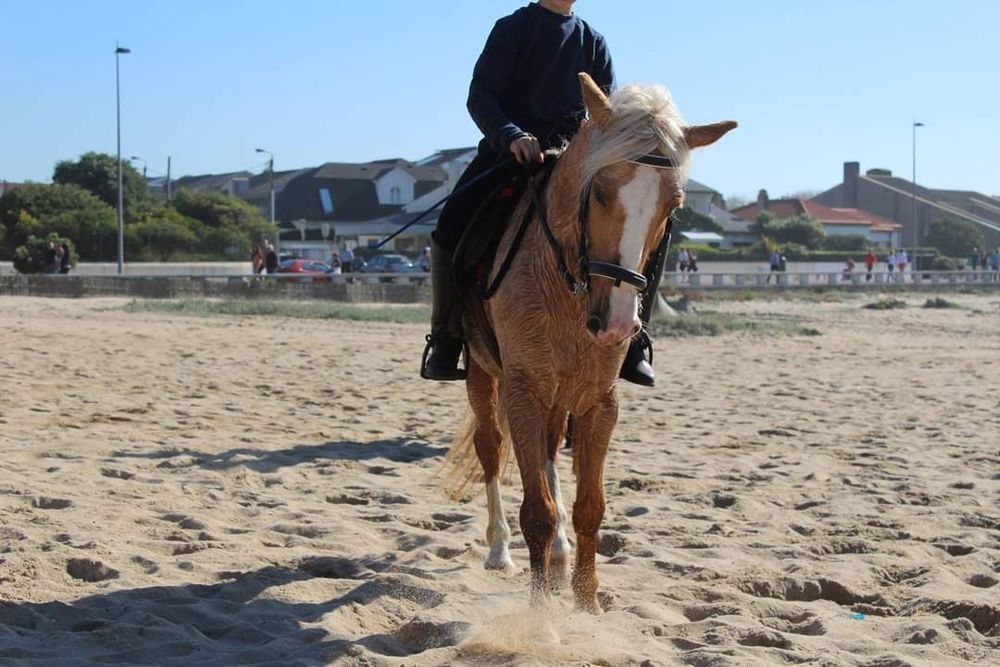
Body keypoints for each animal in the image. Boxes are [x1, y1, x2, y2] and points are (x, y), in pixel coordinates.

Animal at [442, 73, 736, 612]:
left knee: (549, 451)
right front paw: (540, 618)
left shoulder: (600, 400)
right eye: (598, 189)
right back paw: (499, 550)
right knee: (491, 448)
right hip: (482, 373)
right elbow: (536, 509)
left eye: (673, 206)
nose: (618, 322)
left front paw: (587, 601)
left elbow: (589, 507)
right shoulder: (524, 389)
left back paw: (558, 556)